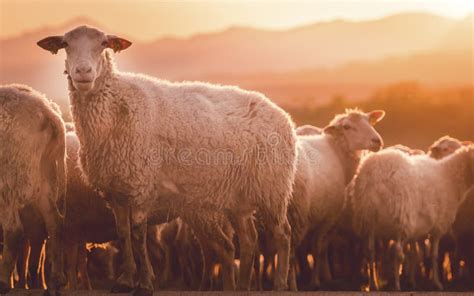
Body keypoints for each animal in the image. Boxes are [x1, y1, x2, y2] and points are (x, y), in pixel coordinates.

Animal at [0, 84, 67, 296]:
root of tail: (46, 110)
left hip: (9, 181)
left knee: (14, 230)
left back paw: (4, 283)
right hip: (45, 177)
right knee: (55, 222)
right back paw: (54, 282)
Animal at [38, 26, 296, 294]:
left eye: (103, 44)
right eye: (66, 44)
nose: (83, 72)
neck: (116, 105)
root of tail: (281, 113)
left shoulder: (140, 186)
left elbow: (137, 234)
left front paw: (144, 283)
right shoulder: (115, 191)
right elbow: (123, 233)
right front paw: (125, 281)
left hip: (273, 189)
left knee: (282, 235)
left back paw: (278, 284)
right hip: (238, 198)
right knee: (248, 240)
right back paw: (242, 286)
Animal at [286, 108, 384, 290]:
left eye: (369, 121)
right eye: (347, 127)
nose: (377, 141)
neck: (336, 151)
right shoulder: (327, 217)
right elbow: (318, 248)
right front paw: (315, 281)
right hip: (296, 213)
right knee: (290, 251)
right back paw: (292, 286)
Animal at [352, 145, 474, 290]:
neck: (449, 178)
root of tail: (375, 174)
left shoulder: (417, 230)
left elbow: (414, 254)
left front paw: (412, 281)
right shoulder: (437, 227)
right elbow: (434, 255)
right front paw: (436, 283)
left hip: (368, 218)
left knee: (370, 251)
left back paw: (373, 284)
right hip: (401, 217)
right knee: (397, 252)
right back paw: (397, 286)